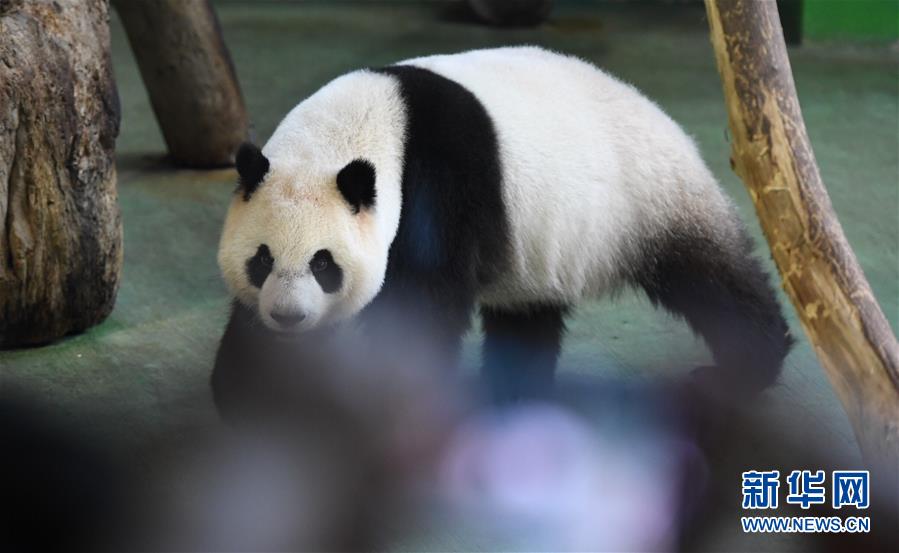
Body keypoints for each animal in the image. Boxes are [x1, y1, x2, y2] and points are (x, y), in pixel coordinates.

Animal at [213, 46, 796, 406]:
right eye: (261, 260)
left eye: (324, 264)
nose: (288, 317)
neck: (367, 124)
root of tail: (663, 116)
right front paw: (249, 390)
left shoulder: (437, 185)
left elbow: (423, 301)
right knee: (528, 313)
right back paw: (514, 390)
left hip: (648, 198)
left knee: (710, 279)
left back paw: (741, 372)